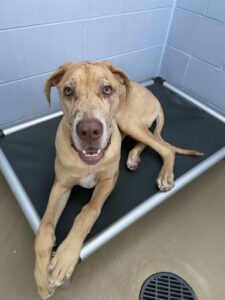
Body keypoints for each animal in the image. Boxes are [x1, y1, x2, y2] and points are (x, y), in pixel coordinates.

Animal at [34, 60, 201, 298]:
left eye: (107, 89)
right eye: (68, 91)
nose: (89, 131)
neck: (87, 161)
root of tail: (150, 92)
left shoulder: (108, 182)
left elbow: (88, 211)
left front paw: (64, 257)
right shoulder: (60, 185)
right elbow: (45, 229)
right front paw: (40, 279)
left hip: (127, 120)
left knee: (163, 148)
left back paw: (164, 175)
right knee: (146, 142)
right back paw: (132, 157)